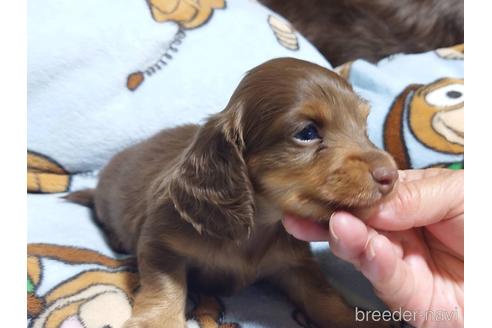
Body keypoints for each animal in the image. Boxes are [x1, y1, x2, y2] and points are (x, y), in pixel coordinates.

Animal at [67, 57, 398, 326]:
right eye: (307, 132)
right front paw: (157, 322)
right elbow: (165, 286)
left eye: (364, 126)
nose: (391, 176)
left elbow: (323, 296)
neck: (258, 225)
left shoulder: (294, 265)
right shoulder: (160, 241)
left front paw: (354, 321)